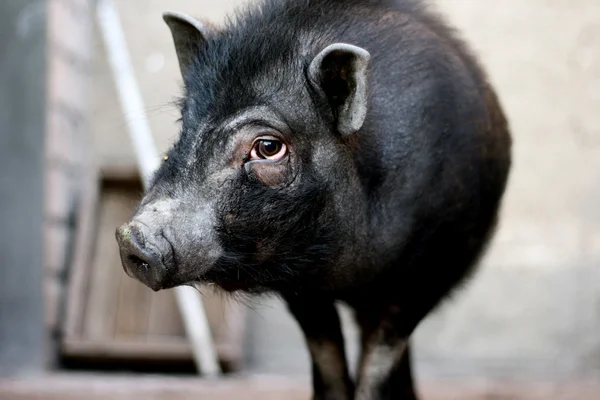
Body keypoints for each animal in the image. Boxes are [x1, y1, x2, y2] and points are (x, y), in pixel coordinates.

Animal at [116, 1, 510, 398]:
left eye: (268, 147)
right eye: (184, 125)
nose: (132, 239)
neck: (347, 269)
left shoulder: (425, 275)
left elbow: (376, 366)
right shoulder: (302, 288)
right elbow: (328, 361)